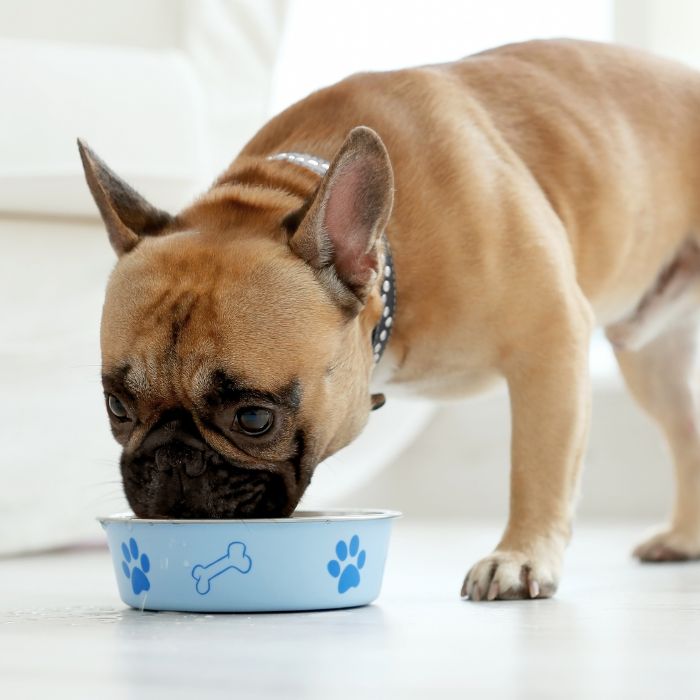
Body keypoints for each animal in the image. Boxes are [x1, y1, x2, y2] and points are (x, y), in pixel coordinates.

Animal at [79, 38, 700, 600]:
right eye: (117, 407)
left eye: (254, 418)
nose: (172, 460)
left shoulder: (550, 341)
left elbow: (538, 466)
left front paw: (520, 556)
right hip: (652, 368)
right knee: (685, 430)